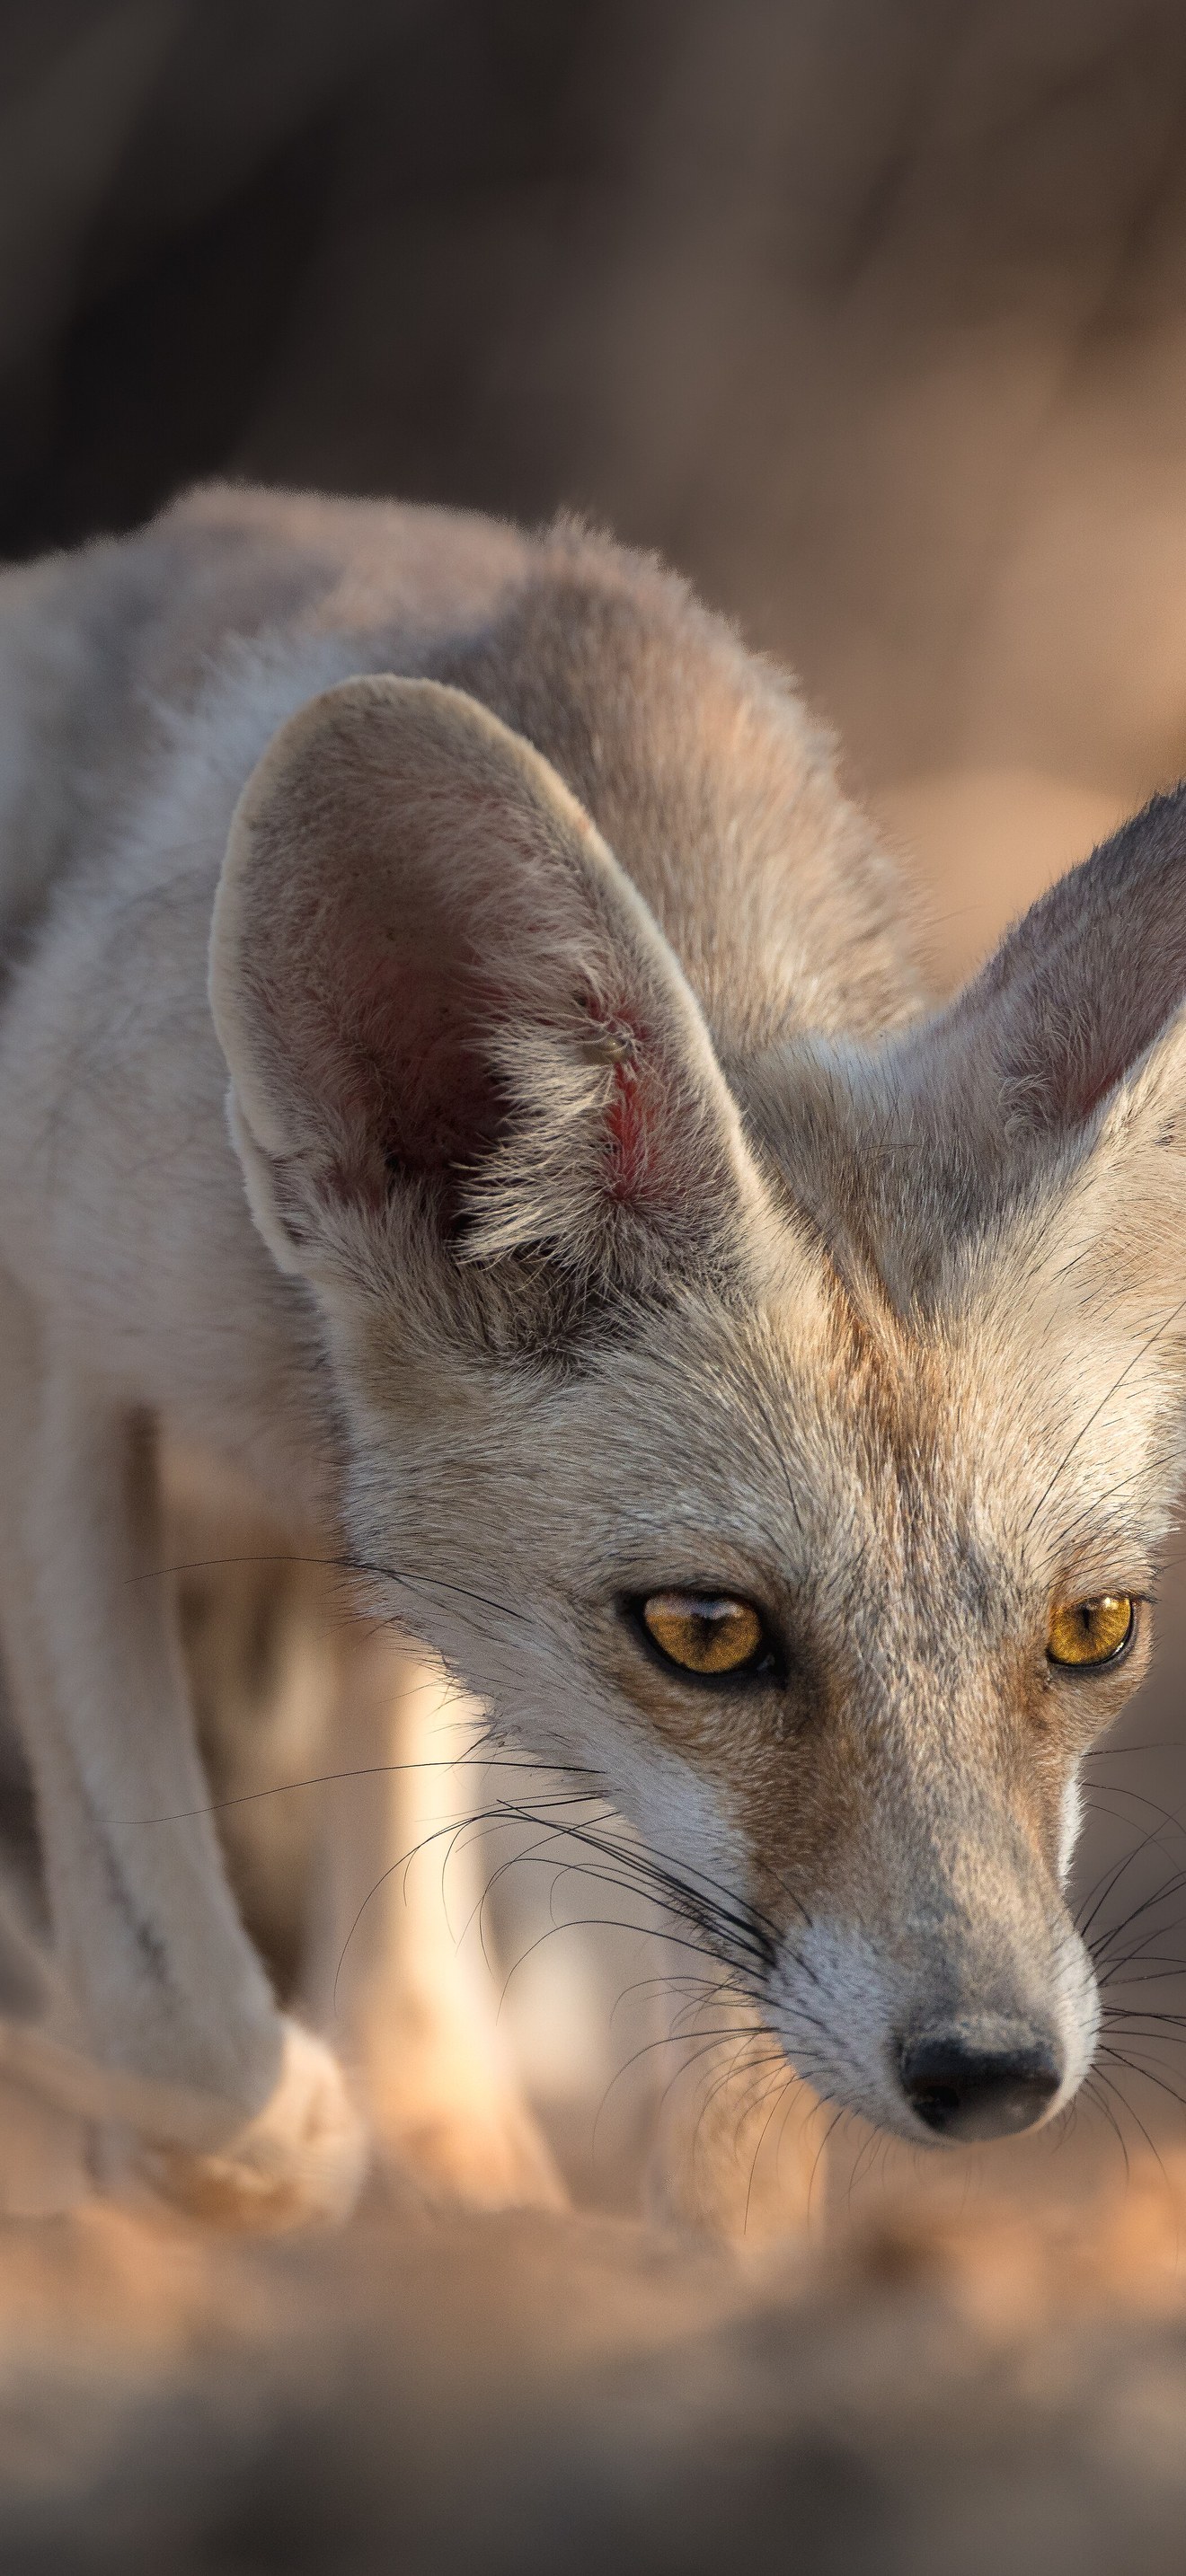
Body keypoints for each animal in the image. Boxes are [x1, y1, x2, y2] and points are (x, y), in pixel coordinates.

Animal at [0, 479, 1176, 2225]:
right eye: (704, 1631)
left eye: (1091, 1627)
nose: (993, 2073)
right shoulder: (61, 1314)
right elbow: (186, 2026)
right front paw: (238, 2149)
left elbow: (737, 2176)